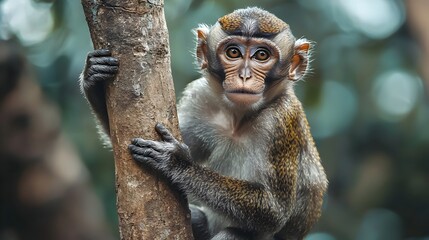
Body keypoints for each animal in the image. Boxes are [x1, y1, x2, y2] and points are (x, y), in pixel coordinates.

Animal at [80, 7, 326, 240]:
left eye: (262, 55)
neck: (239, 119)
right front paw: (93, 76)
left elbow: (274, 211)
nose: (244, 76)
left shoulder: (282, 120)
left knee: (236, 234)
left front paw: (178, 163)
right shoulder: (200, 97)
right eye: (233, 52)